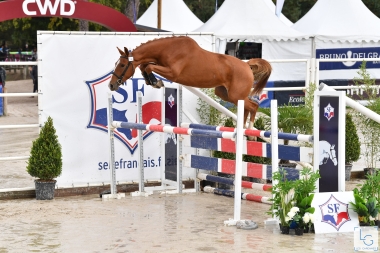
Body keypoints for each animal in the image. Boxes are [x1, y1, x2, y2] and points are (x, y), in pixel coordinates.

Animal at [108, 35, 272, 128]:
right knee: (247, 107)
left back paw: (249, 130)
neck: (168, 49)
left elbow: (148, 66)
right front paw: (152, 81)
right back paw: (243, 129)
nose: (111, 85)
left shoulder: (173, 73)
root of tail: (247, 65)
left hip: (235, 95)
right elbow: (145, 65)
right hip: (224, 93)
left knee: (253, 106)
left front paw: (155, 82)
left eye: (122, 65)